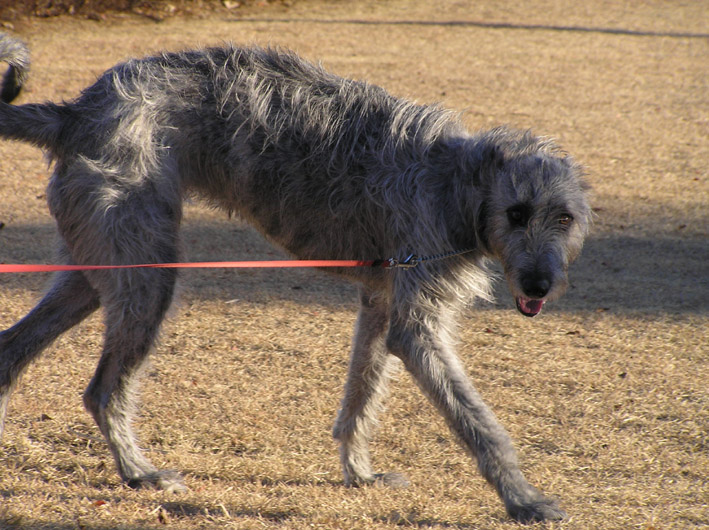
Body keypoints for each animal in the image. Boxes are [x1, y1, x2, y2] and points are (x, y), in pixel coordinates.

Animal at [0, 34, 591, 522]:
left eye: (564, 218)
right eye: (516, 212)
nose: (539, 286)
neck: (458, 183)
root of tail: (76, 112)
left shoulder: (380, 300)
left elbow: (361, 396)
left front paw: (359, 474)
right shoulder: (417, 317)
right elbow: (477, 421)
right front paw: (523, 499)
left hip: (95, 266)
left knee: (15, 346)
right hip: (145, 271)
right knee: (103, 389)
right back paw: (138, 472)